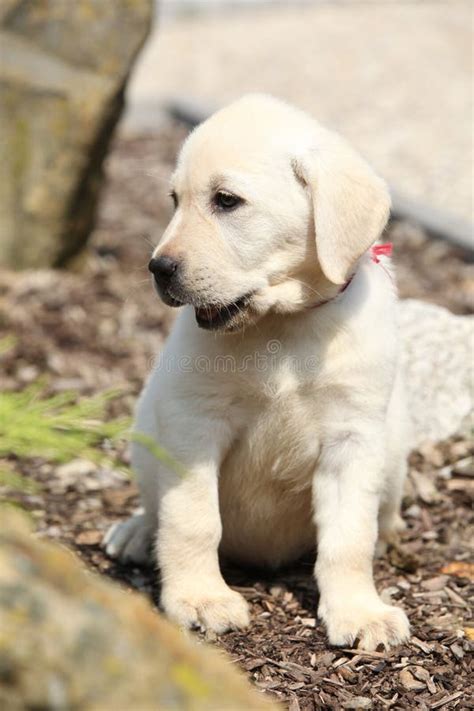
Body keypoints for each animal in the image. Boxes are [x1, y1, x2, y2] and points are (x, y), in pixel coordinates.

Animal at [104, 97, 412, 652]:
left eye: (226, 201)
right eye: (174, 200)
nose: (157, 268)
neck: (280, 325)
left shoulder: (353, 437)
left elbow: (349, 538)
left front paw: (360, 611)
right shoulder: (193, 422)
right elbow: (191, 520)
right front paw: (200, 598)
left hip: (396, 443)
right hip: (145, 429)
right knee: (156, 506)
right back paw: (137, 531)